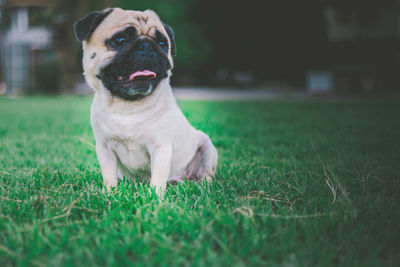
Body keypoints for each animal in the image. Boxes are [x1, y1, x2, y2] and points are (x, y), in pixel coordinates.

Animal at [75, 7, 219, 196]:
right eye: (120, 40)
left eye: (163, 44)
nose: (147, 46)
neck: (127, 107)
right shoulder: (104, 148)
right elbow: (109, 175)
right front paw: (109, 193)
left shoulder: (161, 148)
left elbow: (158, 177)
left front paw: (155, 197)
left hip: (206, 146)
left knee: (206, 175)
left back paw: (200, 185)